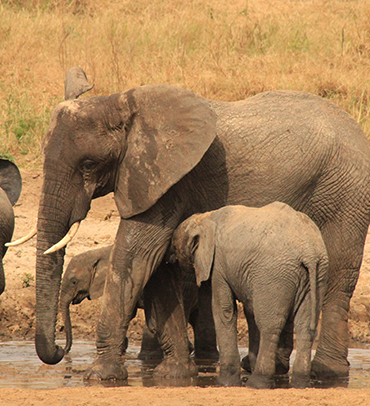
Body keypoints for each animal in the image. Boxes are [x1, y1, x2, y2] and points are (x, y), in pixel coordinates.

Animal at [171, 203, 330, 390]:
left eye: (174, 247)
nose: (169, 260)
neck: (205, 217)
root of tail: (309, 252)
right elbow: (250, 311)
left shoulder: (218, 265)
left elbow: (224, 311)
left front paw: (226, 383)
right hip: (317, 275)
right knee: (304, 327)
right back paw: (301, 384)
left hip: (274, 274)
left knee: (269, 326)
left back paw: (258, 382)